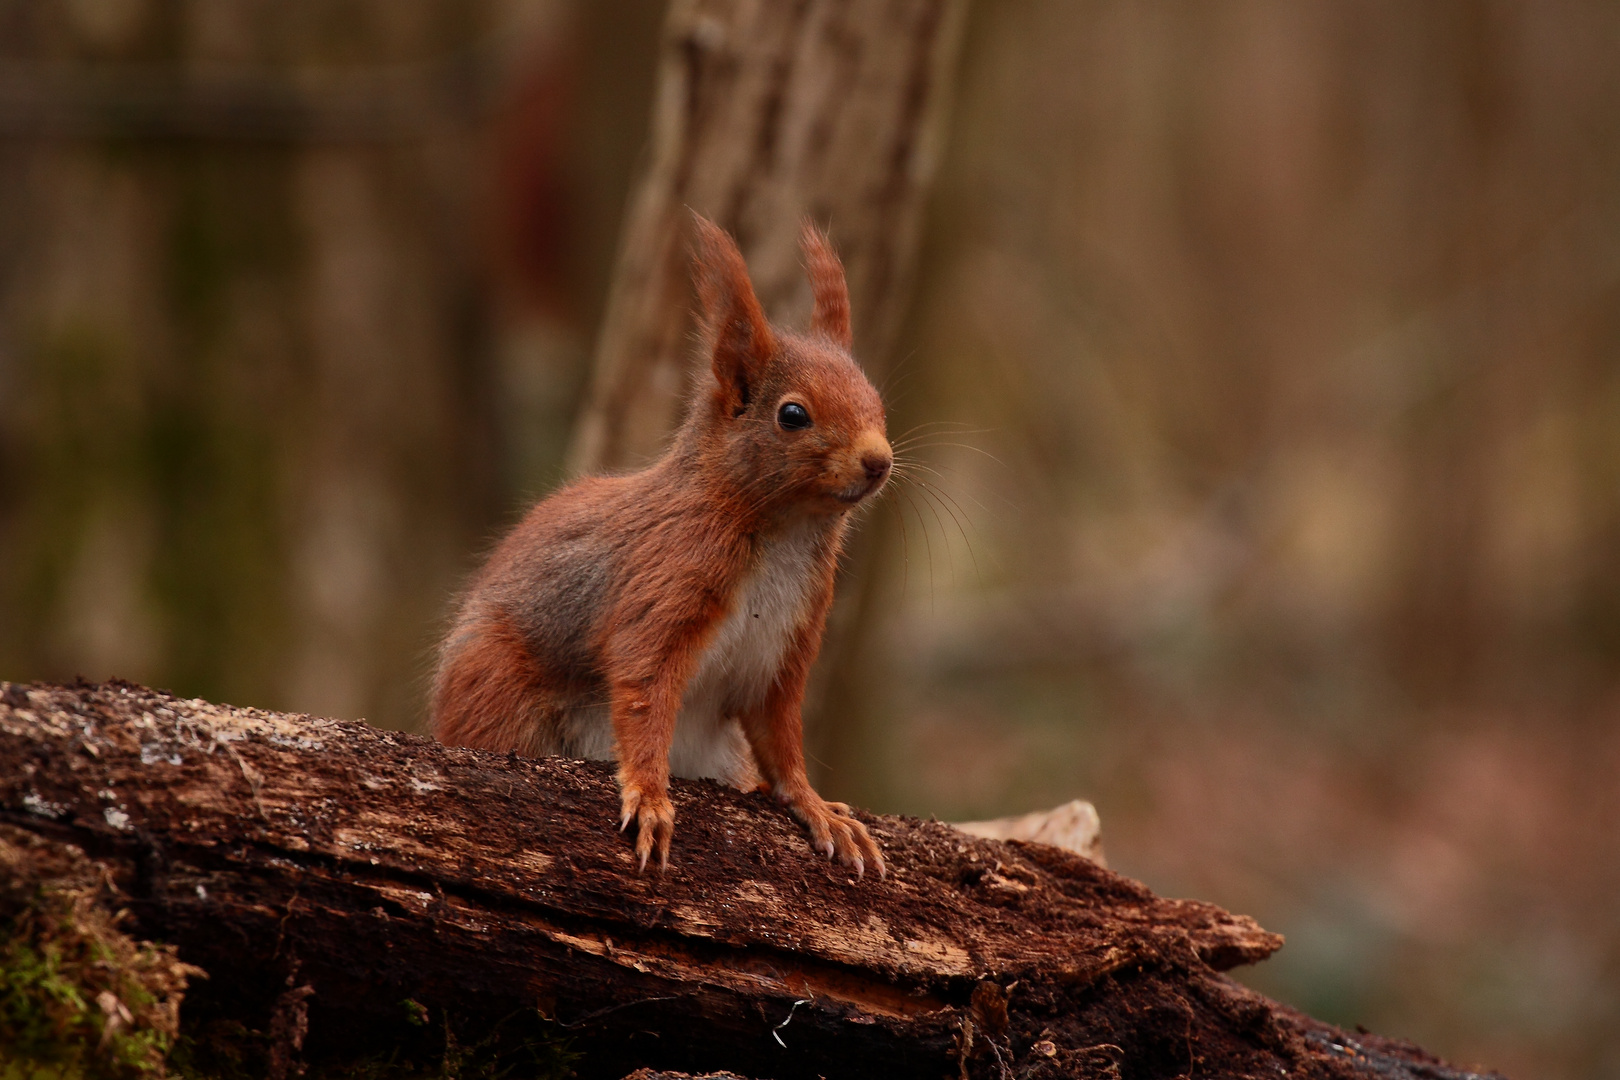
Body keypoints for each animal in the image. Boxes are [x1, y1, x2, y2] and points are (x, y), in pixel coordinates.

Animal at [430, 213, 894, 880]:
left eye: (877, 401)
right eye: (793, 415)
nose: (879, 462)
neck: (784, 532)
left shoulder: (786, 647)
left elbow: (780, 736)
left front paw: (814, 806)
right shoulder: (664, 582)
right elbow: (643, 689)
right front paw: (649, 796)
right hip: (494, 687)